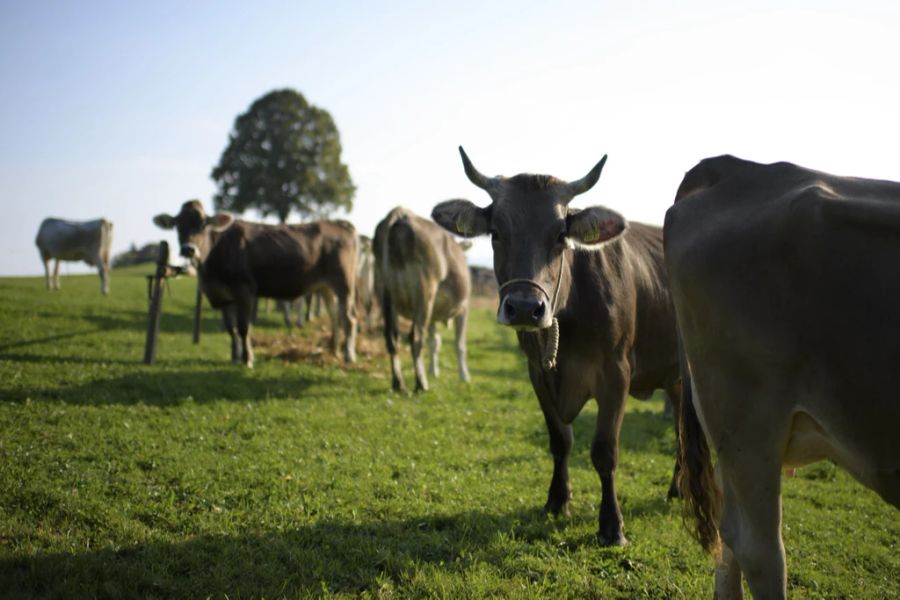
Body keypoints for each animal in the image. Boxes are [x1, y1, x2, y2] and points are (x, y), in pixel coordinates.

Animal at [153, 199, 356, 366]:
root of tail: (338, 222)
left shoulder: (244, 290)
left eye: (204, 224)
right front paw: (234, 357)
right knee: (335, 316)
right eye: (178, 225)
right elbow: (231, 329)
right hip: (325, 286)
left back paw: (348, 356)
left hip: (344, 283)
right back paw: (334, 350)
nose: (188, 249)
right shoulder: (222, 296)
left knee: (349, 318)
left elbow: (243, 328)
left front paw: (247, 359)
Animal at [372, 206, 472, 394]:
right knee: (416, 336)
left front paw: (434, 370)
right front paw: (464, 376)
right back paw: (421, 383)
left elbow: (435, 343)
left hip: (385, 291)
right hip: (425, 290)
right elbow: (459, 344)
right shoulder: (463, 309)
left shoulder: (433, 315)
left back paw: (399, 383)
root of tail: (401, 215)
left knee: (391, 336)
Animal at [430, 148, 684, 548]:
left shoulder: (617, 373)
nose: (524, 307)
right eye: (496, 232)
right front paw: (556, 501)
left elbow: (604, 450)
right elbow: (560, 440)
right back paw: (676, 488)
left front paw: (612, 526)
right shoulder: (537, 372)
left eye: (561, 235)